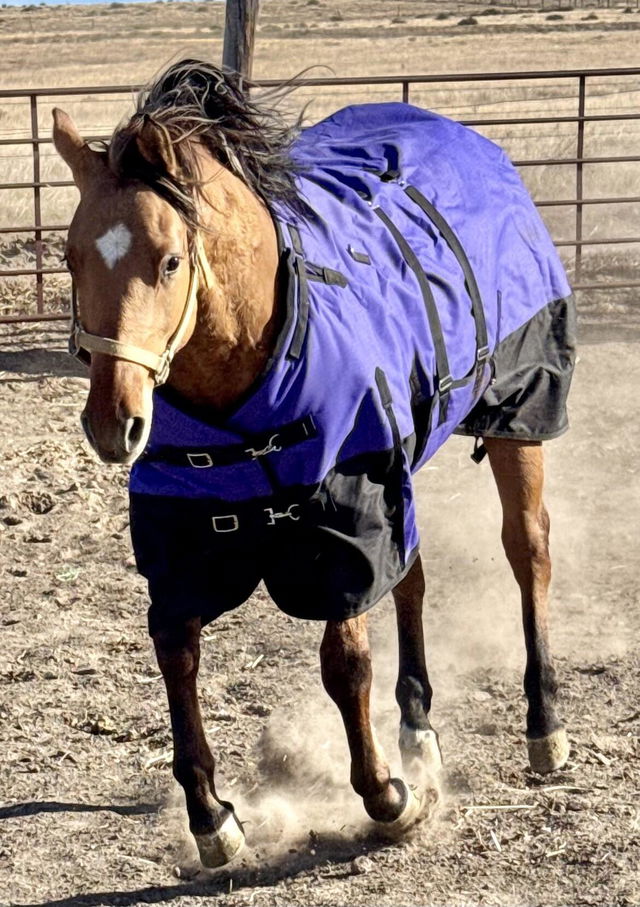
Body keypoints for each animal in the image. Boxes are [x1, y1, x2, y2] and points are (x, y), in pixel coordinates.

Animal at [52, 60, 576, 868]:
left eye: (168, 260)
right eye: (72, 257)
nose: (114, 424)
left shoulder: (344, 512)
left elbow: (344, 660)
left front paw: (389, 798)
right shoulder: (187, 534)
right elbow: (177, 651)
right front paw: (210, 815)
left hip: (515, 411)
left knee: (529, 550)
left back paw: (543, 725)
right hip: (401, 469)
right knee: (412, 579)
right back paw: (417, 727)